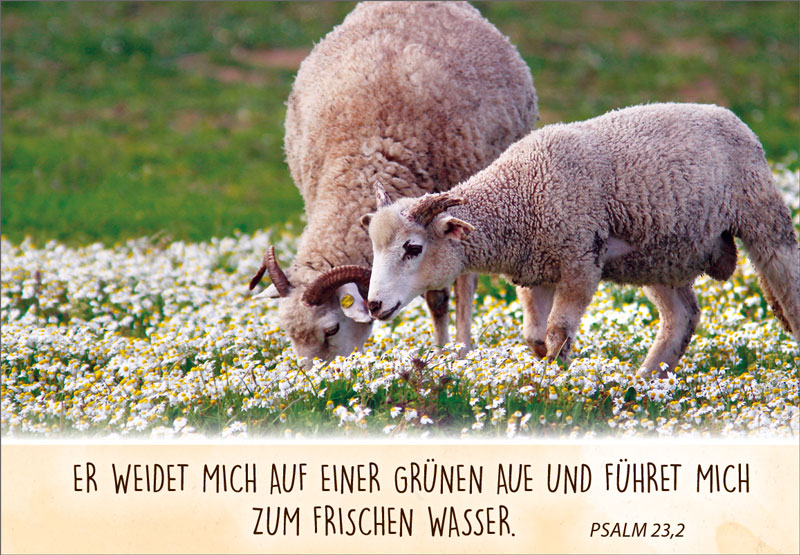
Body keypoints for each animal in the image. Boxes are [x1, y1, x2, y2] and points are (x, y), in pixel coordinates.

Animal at [248, 1, 538, 367]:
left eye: (331, 329)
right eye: (289, 333)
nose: (319, 379)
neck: (367, 156)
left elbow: (448, 294)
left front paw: (452, 353)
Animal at [362, 102, 800, 377]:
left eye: (413, 248)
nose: (374, 305)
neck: (518, 195)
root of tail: (733, 118)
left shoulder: (579, 261)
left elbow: (556, 333)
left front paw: (559, 383)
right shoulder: (535, 271)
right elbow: (535, 337)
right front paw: (548, 371)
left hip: (763, 216)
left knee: (790, 291)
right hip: (661, 254)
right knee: (682, 317)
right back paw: (645, 382)